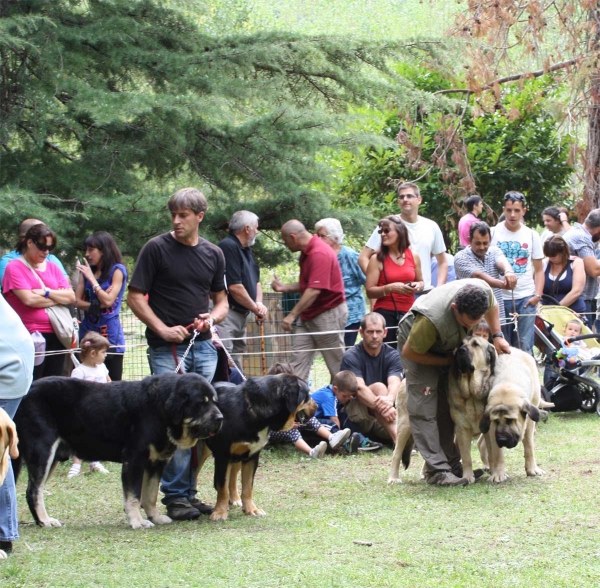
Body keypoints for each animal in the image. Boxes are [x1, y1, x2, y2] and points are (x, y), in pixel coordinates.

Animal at [14, 374, 225, 532]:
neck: (159, 410)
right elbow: (134, 497)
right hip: (43, 451)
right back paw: (45, 520)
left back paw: (38, 521)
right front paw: (137, 521)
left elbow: (150, 496)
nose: (220, 418)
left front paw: (155, 517)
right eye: (201, 403)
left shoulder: (156, 463)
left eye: (215, 401)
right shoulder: (134, 460)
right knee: (34, 490)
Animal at [199, 374, 316, 520]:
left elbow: (247, 487)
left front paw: (251, 509)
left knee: (233, 477)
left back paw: (234, 499)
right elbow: (222, 486)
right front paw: (220, 512)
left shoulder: (252, 456)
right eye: (307, 395)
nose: (317, 406)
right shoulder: (223, 455)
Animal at [478, 350, 548, 482]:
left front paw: (532, 469)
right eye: (496, 421)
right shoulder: (491, 425)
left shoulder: (530, 422)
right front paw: (499, 473)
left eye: (510, 420)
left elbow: (529, 445)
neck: (508, 381)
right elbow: (497, 452)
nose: (502, 439)